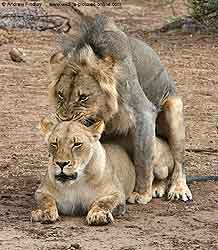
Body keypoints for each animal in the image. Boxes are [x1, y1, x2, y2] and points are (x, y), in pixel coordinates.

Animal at [30, 117, 176, 225]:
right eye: (54, 143)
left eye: (77, 144)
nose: (61, 163)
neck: (76, 182)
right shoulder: (42, 191)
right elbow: (46, 201)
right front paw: (43, 213)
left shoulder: (117, 194)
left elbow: (103, 203)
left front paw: (98, 215)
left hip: (154, 158)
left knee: (163, 175)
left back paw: (156, 189)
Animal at [48, 14, 192, 204]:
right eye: (60, 95)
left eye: (83, 97)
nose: (64, 120)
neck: (103, 112)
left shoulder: (143, 113)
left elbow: (143, 159)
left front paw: (141, 194)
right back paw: (157, 188)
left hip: (174, 112)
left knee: (178, 163)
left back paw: (178, 189)